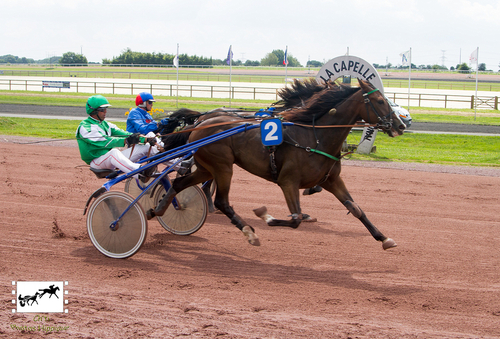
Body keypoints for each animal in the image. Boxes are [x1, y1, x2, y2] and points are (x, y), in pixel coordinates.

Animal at [148, 79, 406, 250]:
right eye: (380, 100)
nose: (401, 125)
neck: (314, 137)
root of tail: (201, 121)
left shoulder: (332, 180)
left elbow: (356, 209)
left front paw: (384, 238)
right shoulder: (288, 181)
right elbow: (295, 219)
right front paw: (266, 216)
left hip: (206, 167)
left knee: (180, 183)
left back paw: (157, 210)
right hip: (223, 166)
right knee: (222, 200)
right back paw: (248, 231)